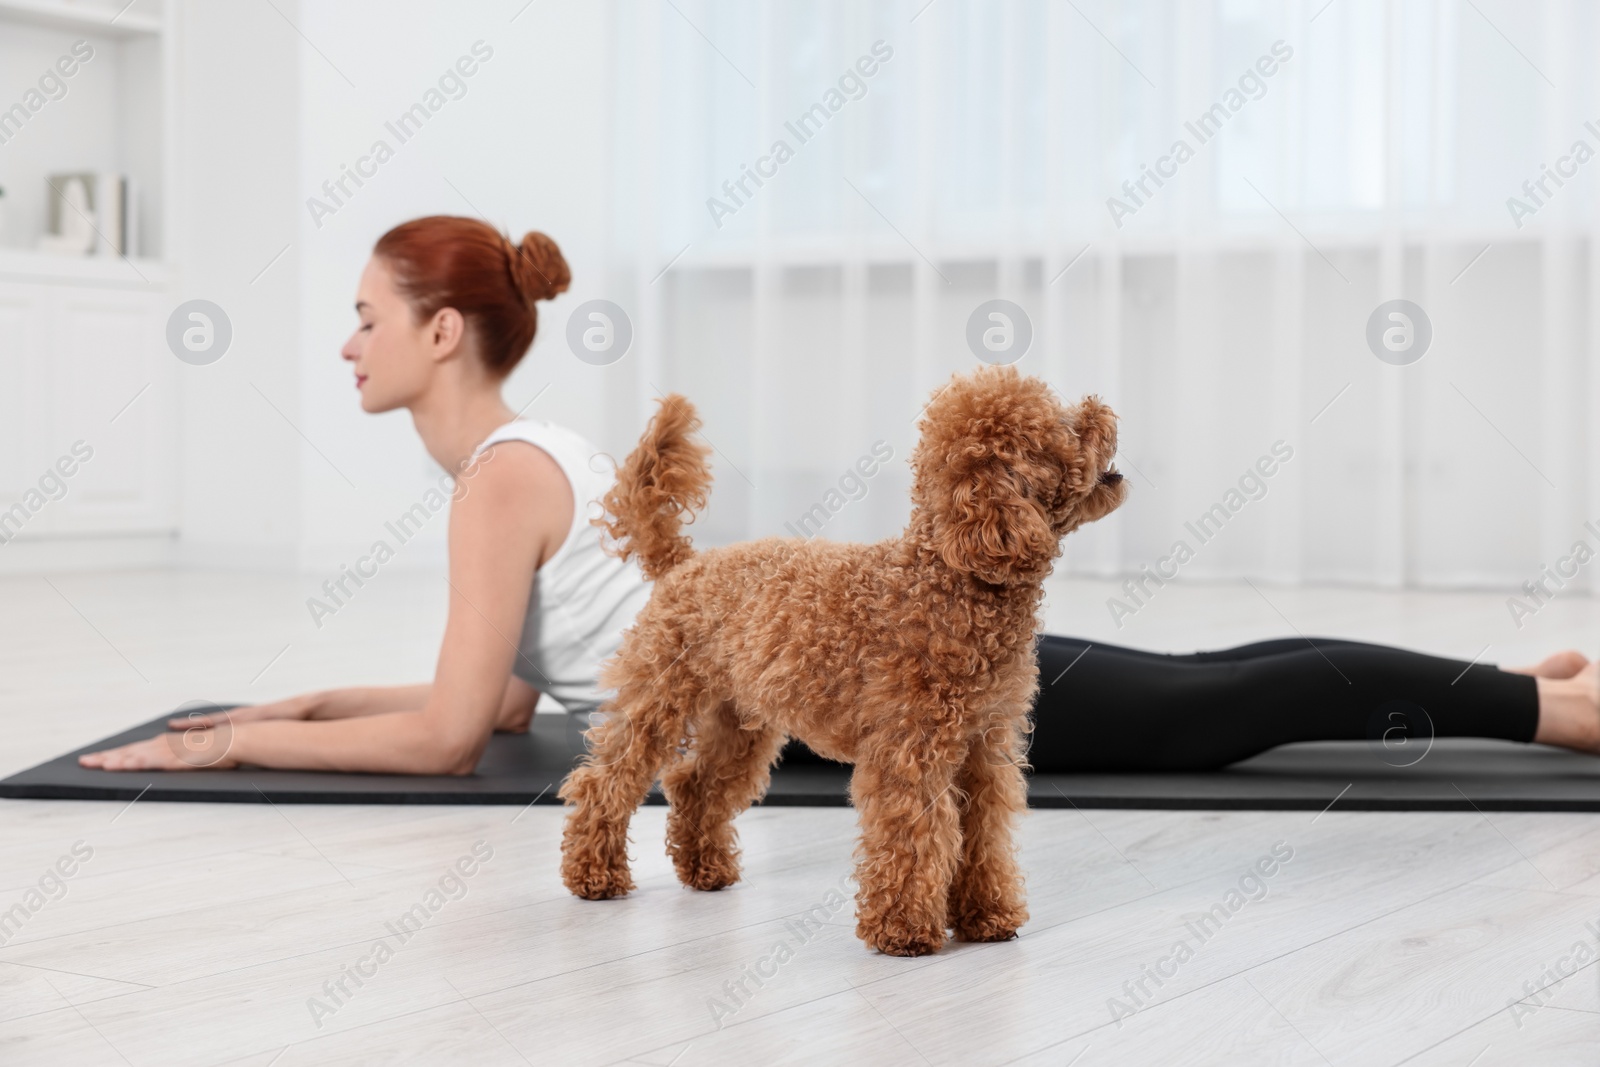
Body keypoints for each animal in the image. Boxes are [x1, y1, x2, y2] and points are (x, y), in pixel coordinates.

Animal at [560, 367, 1126, 959]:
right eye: (1061, 428)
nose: (1102, 408)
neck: (952, 579)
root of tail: (683, 564)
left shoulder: (984, 747)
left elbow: (983, 835)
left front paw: (987, 916)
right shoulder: (909, 752)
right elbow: (913, 838)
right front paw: (902, 930)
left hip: (737, 721)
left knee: (696, 784)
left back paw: (707, 869)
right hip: (657, 697)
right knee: (606, 781)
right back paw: (595, 876)